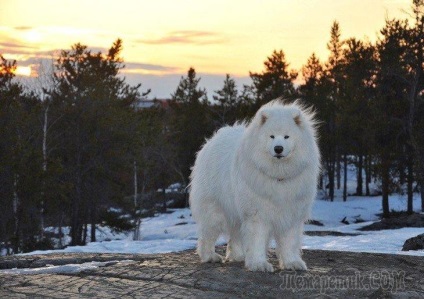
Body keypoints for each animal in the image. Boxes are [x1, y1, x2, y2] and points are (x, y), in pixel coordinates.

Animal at [189, 99, 318, 274]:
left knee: (235, 233)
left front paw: (293, 263)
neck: (278, 175)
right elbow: (257, 239)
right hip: (215, 208)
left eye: (286, 136)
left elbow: (289, 241)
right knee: (208, 233)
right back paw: (210, 256)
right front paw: (259, 264)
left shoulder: (291, 212)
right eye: (271, 136)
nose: (278, 148)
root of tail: (212, 140)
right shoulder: (257, 212)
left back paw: (238, 256)